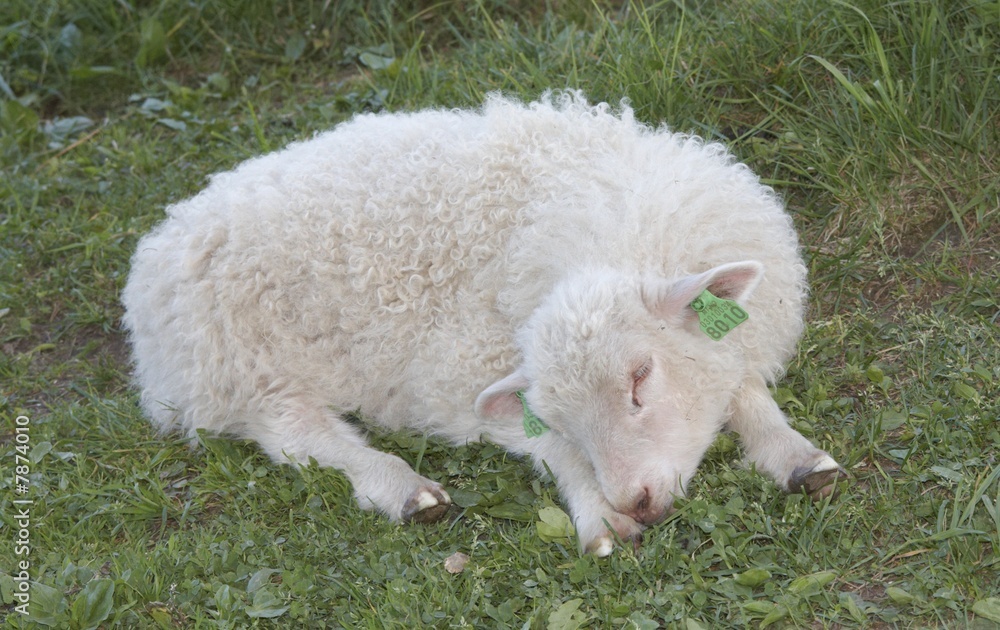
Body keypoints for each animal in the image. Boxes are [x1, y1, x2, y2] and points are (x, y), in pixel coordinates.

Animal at [121, 91, 845, 556]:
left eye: (642, 377)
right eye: (561, 416)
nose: (636, 498)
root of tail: (156, 248)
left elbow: (741, 387)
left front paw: (795, 455)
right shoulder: (455, 372)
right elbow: (550, 450)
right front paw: (596, 515)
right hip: (240, 364)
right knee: (296, 435)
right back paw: (400, 487)